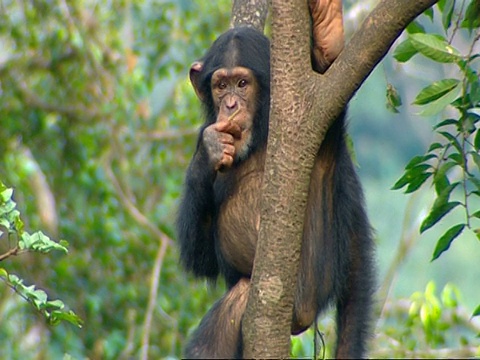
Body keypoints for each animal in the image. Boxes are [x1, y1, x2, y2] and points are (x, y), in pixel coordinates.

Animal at [176, 26, 376, 360]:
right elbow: (201, 257)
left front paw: (325, 45)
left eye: (243, 84)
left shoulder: (317, 121)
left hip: (304, 292)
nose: (230, 105)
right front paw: (211, 150)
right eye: (221, 85)